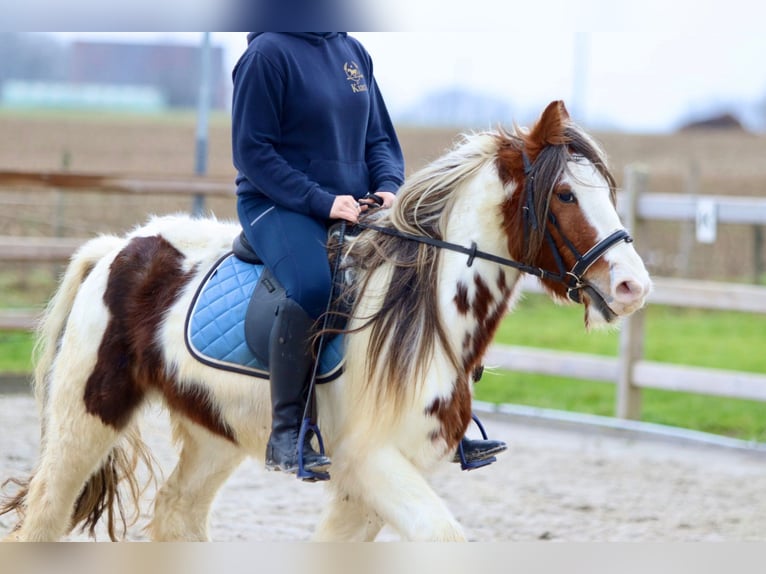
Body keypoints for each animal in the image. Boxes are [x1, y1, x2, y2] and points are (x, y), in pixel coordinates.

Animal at [0, 101, 652, 544]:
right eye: (565, 195)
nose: (632, 286)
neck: (425, 318)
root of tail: (120, 246)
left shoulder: (371, 483)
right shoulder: (372, 464)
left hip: (215, 431)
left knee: (176, 514)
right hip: (87, 415)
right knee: (46, 514)